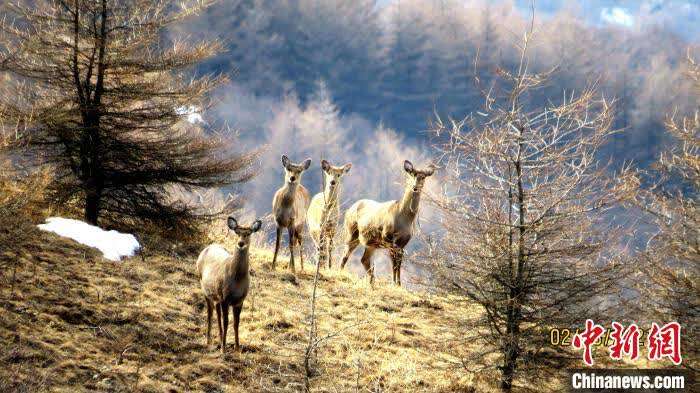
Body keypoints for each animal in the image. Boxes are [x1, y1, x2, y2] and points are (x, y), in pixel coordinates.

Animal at [197, 216, 262, 354]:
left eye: (249, 233)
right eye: (237, 232)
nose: (241, 243)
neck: (237, 279)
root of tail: (206, 248)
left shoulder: (240, 300)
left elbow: (236, 323)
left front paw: (237, 349)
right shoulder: (225, 298)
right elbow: (226, 322)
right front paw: (224, 349)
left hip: (217, 295)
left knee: (217, 313)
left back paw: (219, 339)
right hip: (205, 289)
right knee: (210, 313)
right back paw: (209, 342)